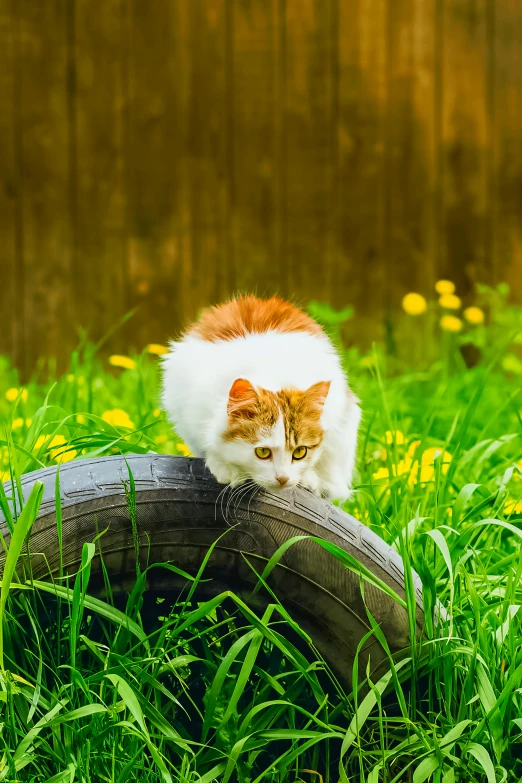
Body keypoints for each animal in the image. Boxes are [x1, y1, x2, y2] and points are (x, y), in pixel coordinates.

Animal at [160, 294, 360, 502]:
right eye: (263, 452)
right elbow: (211, 446)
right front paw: (227, 469)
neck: (275, 372)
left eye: (300, 452)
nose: (283, 479)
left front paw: (309, 479)